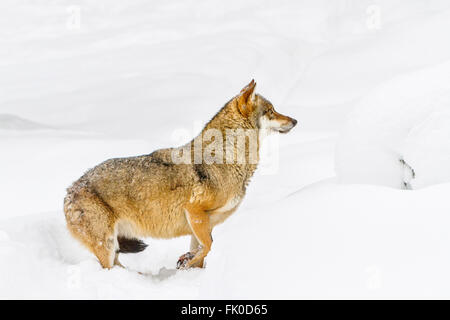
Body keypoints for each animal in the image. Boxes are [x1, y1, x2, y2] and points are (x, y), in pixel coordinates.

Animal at [63, 79, 296, 268]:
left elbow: (202, 250)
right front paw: (187, 262)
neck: (228, 157)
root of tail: (70, 190)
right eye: (272, 110)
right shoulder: (194, 211)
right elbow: (208, 246)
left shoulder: (203, 223)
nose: (295, 121)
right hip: (108, 245)